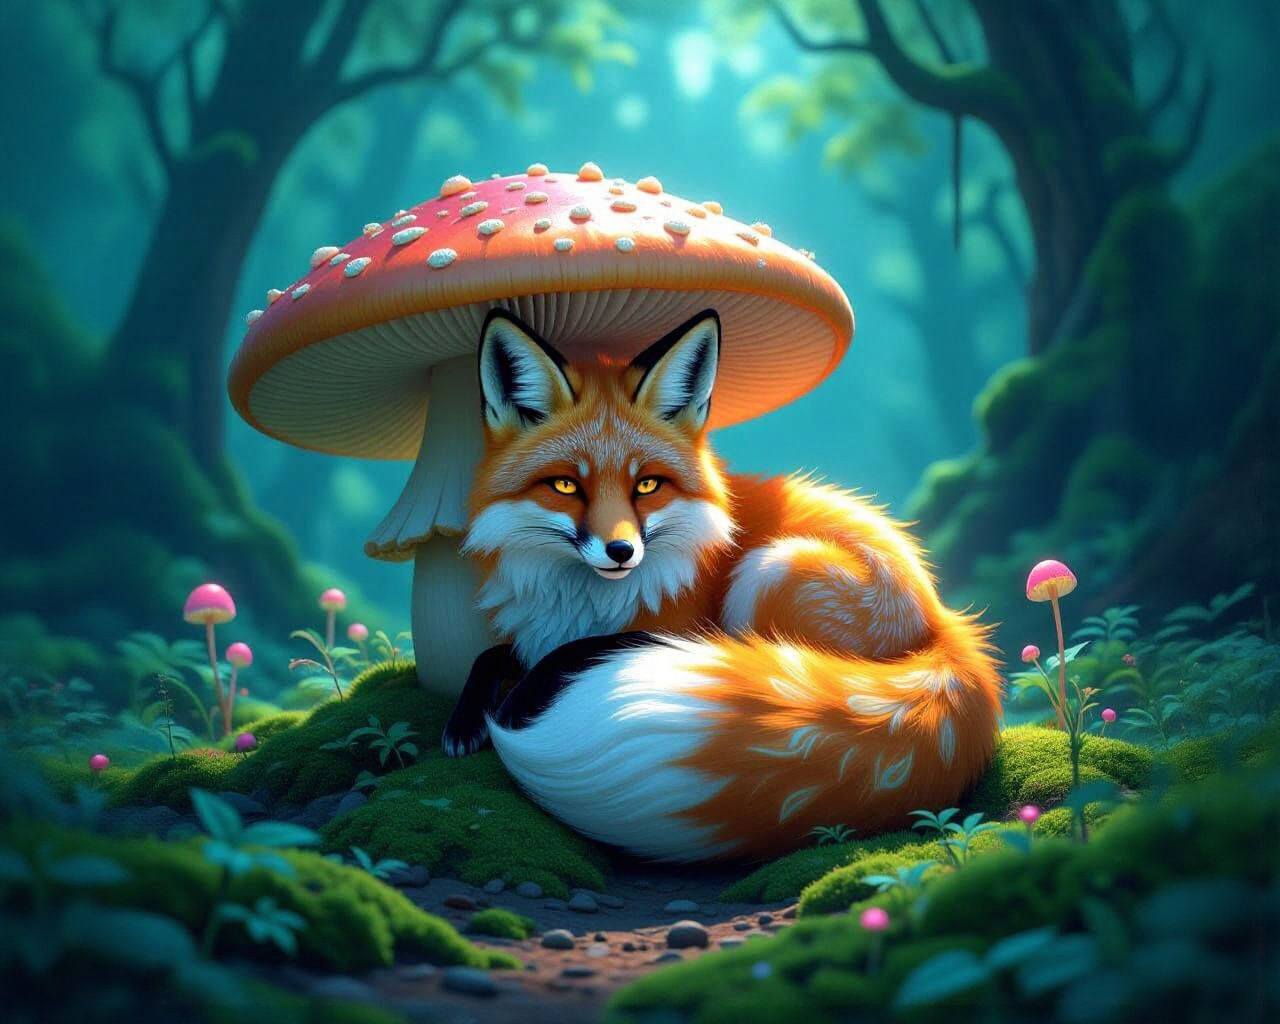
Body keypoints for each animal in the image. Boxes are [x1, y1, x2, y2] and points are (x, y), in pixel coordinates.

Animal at [441, 306, 1004, 862]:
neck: (581, 601)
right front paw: (465, 720)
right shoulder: (539, 631)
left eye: (647, 485)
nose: (621, 551)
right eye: (565, 485)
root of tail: (943, 624)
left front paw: (510, 704)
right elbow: (495, 653)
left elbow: (563, 657)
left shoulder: (669, 626)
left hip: (767, 571)